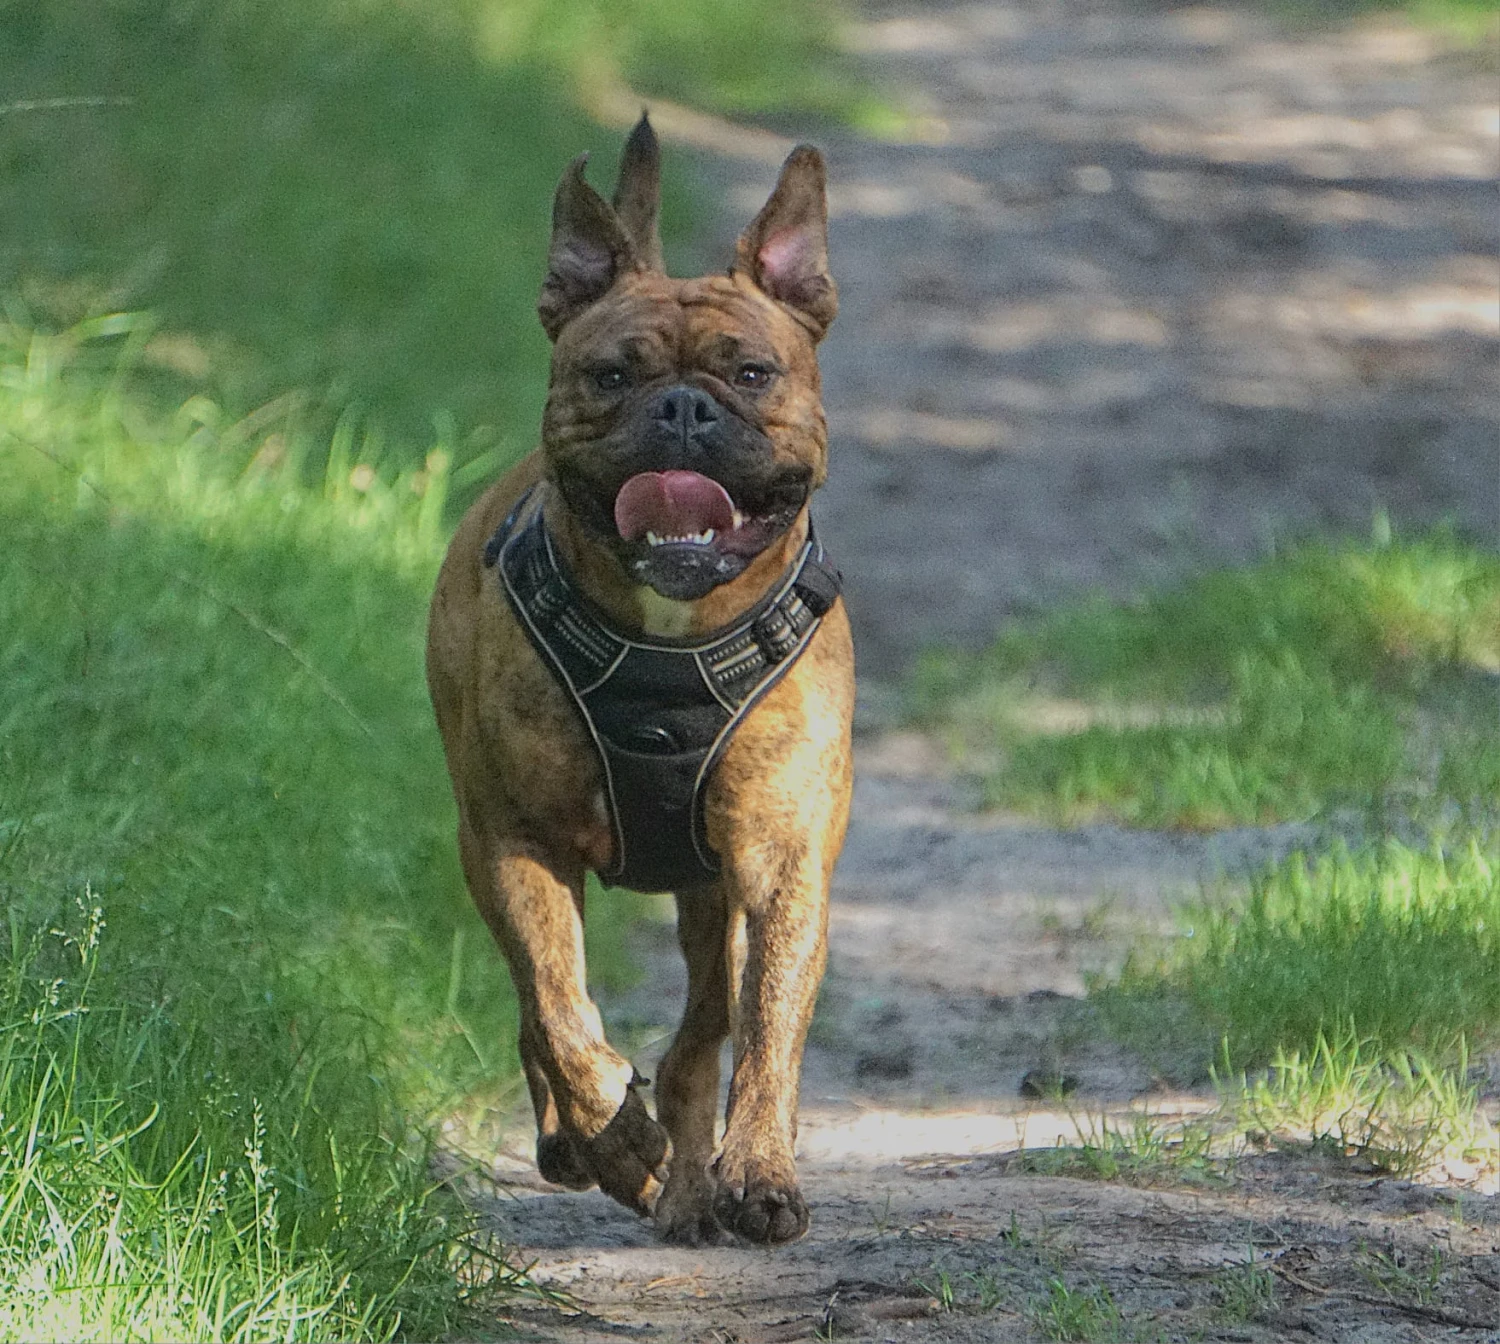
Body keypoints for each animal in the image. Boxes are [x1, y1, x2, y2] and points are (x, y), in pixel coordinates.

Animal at [429, 120, 852, 1242]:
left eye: (751, 372)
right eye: (611, 375)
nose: (683, 408)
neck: (669, 639)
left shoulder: (783, 861)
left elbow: (767, 1023)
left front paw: (757, 1169)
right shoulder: (515, 842)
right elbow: (557, 1005)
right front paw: (611, 1139)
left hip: (711, 889)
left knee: (702, 1029)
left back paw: (694, 1179)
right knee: (545, 1014)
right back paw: (589, 1147)